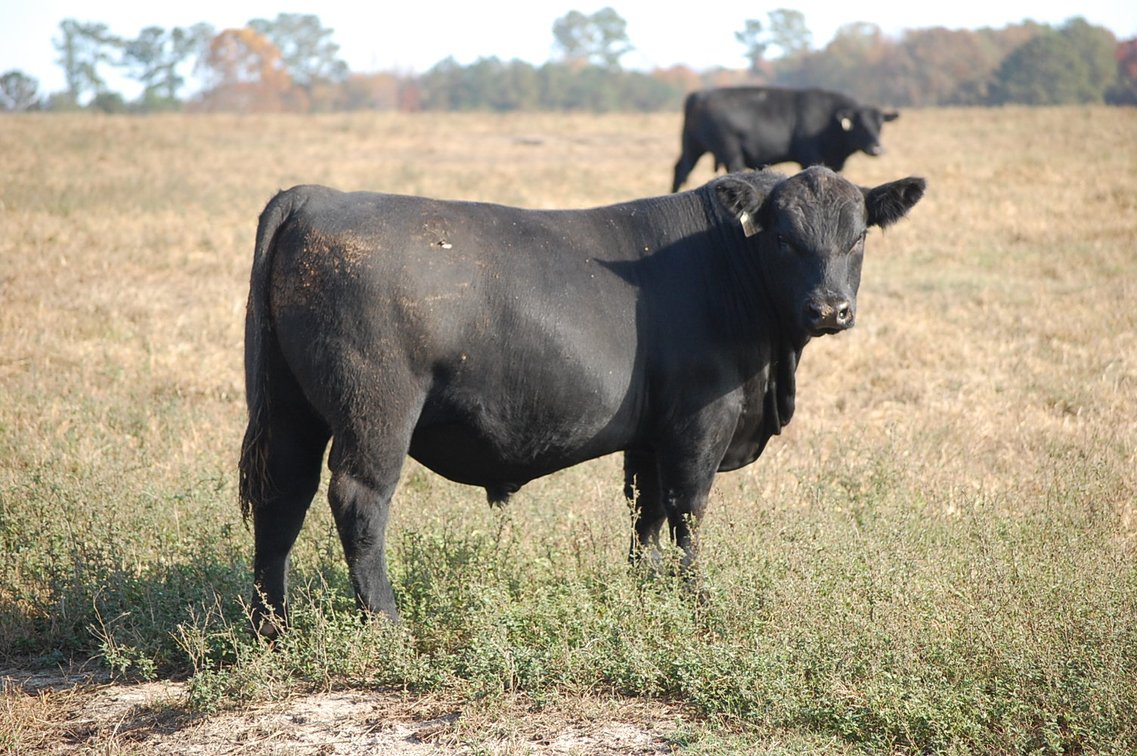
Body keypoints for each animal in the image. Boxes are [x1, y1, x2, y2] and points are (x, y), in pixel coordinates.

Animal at [239, 166, 925, 636]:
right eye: (783, 238)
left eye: (858, 237)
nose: (830, 309)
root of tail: (316, 195)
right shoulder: (700, 421)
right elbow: (688, 509)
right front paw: (697, 603)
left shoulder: (651, 433)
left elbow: (645, 515)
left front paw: (647, 594)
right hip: (376, 412)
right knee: (358, 501)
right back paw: (388, 624)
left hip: (292, 410)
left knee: (281, 499)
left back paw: (272, 627)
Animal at [671, 86, 900, 192]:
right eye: (861, 126)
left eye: (880, 125)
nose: (876, 149)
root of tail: (699, 95)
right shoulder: (810, 157)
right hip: (730, 153)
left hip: (692, 147)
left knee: (680, 170)